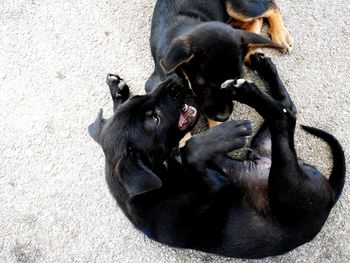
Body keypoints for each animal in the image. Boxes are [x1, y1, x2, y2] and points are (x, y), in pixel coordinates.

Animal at [146, 0, 292, 124]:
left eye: (236, 80)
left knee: (270, 8)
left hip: (236, 7)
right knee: (257, 19)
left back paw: (280, 36)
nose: (224, 117)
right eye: (202, 85)